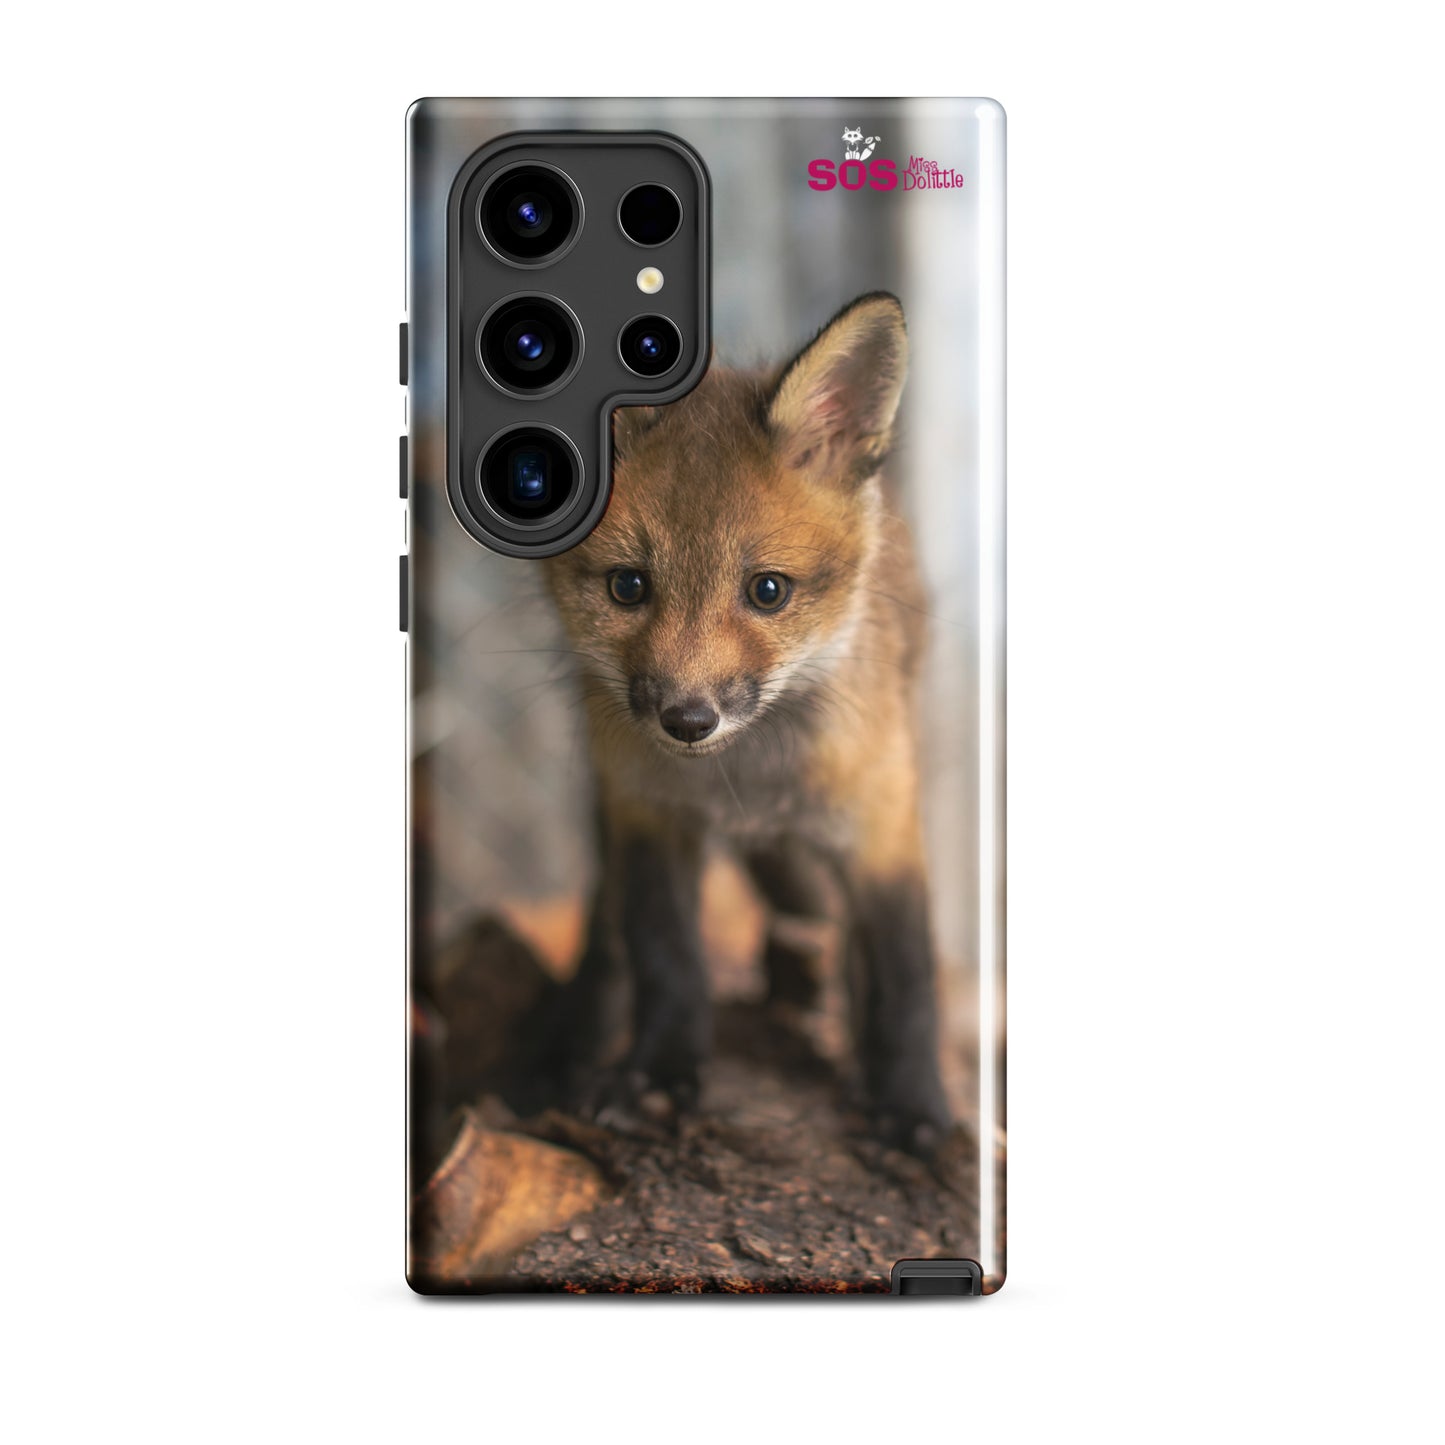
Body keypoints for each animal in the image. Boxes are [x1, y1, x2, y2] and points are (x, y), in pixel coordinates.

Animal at [544, 292, 951, 1154]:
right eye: (627, 585)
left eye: (768, 590)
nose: (687, 718)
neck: (748, 786)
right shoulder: (649, 815)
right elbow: (666, 956)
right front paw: (657, 1075)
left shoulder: (880, 820)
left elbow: (904, 972)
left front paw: (911, 1105)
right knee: (604, 929)